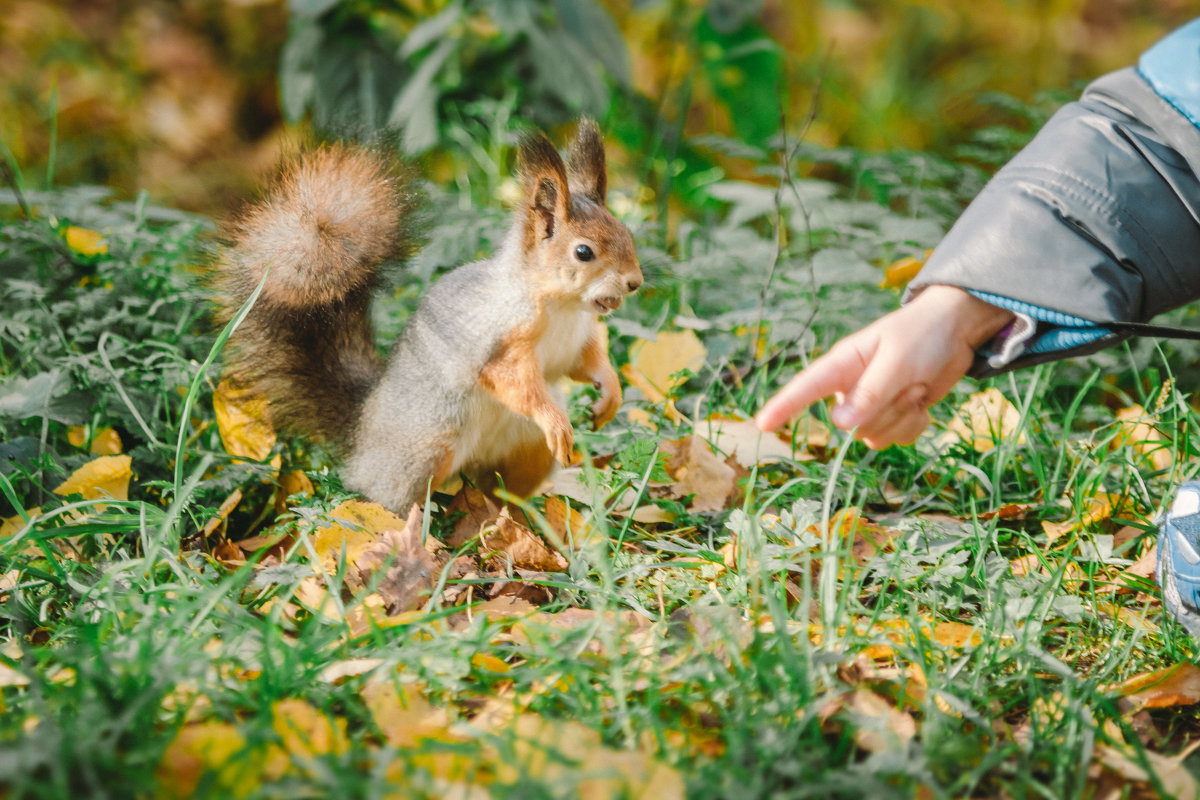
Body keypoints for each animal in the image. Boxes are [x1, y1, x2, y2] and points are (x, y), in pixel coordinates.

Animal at [216, 122, 648, 515]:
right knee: (390, 498)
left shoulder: (579, 339)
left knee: (500, 487)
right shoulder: (500, 338)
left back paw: (518, 519)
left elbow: (588, 363)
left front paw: (610, 395)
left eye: (627, 233)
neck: (561, 306)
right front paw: (555, 420)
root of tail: (360, 433)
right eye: (583, 252)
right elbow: (514, 381)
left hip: (526, 448)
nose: (635, 283)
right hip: (427, 450)